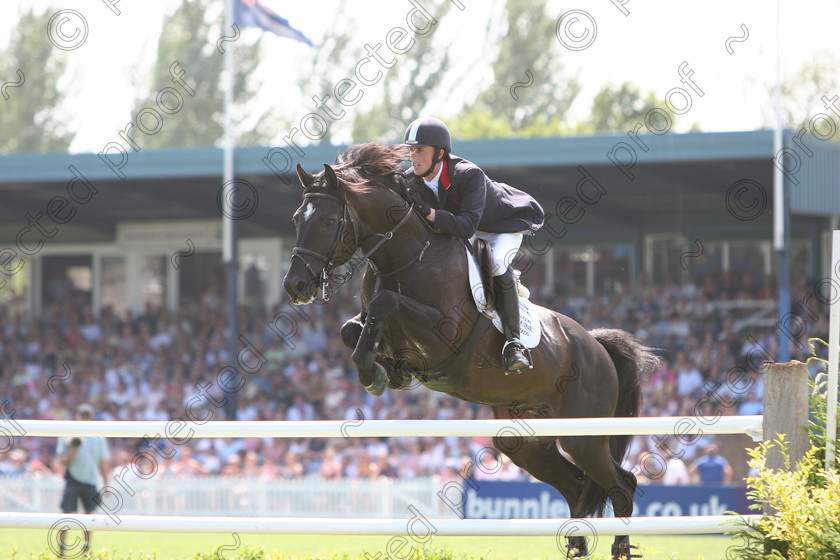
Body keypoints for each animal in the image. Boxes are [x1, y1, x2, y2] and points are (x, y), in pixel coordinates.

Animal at [286, 143, 660, 556]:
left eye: (326, 222)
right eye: (296, 219)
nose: (295, 286)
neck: (406, 256)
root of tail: (597, 346)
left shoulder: (441, 336)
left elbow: (386, 303)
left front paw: (373, 376)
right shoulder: (375, 321)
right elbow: (352, 330)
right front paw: (382, 371)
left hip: (585, 436)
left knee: (621, 485)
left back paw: (620, 548)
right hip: (524, 441)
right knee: (576, 485)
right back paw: (577, 545)